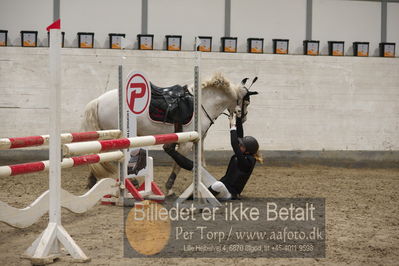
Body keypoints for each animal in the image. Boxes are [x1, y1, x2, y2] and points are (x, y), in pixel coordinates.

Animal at [82, 72, 258, 193]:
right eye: (247, 101)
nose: (244, 118)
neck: (202, 104)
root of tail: (98, 100)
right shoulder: (186, 143)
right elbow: (178, 165)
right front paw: (169, 187)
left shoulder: (197, 140)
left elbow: (200, 163)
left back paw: (92, 181)